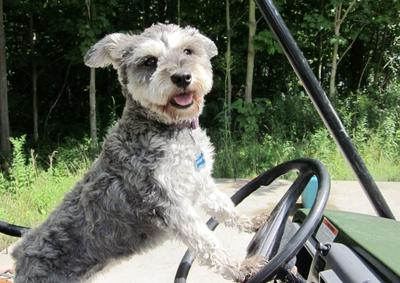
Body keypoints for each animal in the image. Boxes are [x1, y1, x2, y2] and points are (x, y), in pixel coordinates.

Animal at [12, 23, 268, 283]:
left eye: (188, 50)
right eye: (149, 61)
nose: (182, 77)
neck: (168, 129)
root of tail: (20, 257)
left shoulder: (200, 182)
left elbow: (224, 206)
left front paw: (252, 223)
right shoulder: (169, 204)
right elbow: (204, 240)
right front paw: (240, 267)